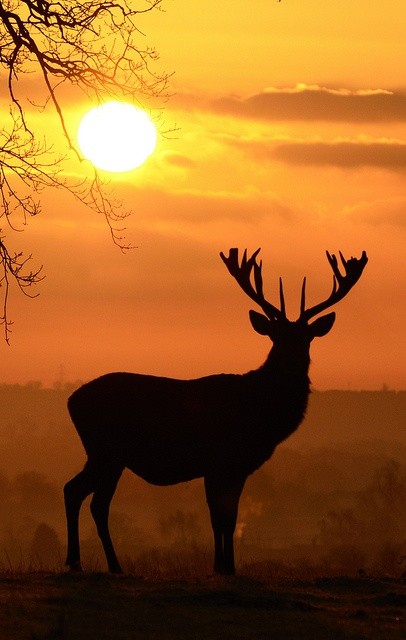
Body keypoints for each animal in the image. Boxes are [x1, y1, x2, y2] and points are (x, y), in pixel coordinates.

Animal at [63, 246, 368, 576]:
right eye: (275, 336)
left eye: (306, 338)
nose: (291, 363)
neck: (258, 414)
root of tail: (71, 401)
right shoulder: (216, 461)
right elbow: (218, 517)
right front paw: (220, 566)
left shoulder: (237, 468)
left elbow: (230, 518)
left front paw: (228, 566)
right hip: (107, 452)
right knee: (91, 500)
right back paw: (103, 564)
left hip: (106, 456)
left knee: (78, 493)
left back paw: (81, 562)